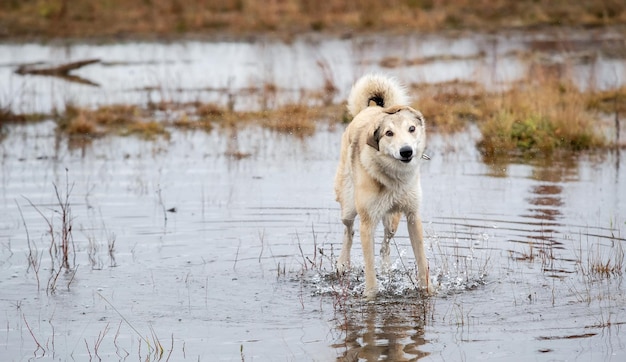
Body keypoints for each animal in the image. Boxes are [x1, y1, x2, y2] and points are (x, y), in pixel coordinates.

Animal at [334, 73, 432, 300]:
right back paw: (342, 264)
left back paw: (387, 270)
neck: (394, 178)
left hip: (392, 219)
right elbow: (369, 269)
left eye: (412, 129)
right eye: (389, 133)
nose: (406, 151)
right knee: (349, 231)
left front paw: (428, 291)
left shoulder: (413, 216)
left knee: (385, 245)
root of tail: (367, 110)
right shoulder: (367, 222)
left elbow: (422, 260)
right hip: (349, 209)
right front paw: (370, 296)